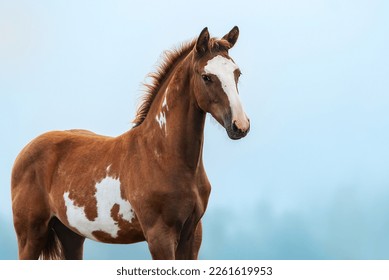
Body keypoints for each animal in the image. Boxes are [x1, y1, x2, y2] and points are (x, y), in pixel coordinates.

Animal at [11, 26, 252, 260]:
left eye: (237, 73)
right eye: (206, 77)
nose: (240, 125)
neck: (163, 155)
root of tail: (24, 152)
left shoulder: (192, 237)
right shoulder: (159, 237)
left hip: (71, 235)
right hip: (31, 236)